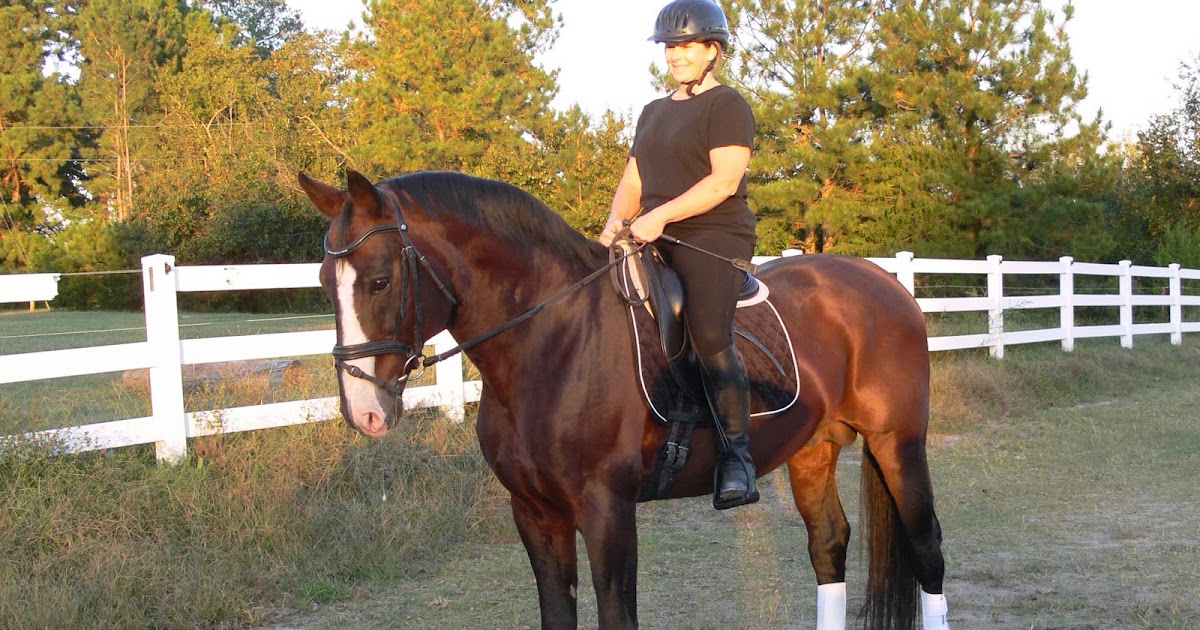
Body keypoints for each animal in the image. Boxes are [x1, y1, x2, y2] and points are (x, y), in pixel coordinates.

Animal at [298, 169, 950, 630]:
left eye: (380, 280)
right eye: (326, 285)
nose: (364, 412)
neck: (553, 342)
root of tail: (886, 283)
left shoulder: (607, 510)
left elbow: (617, 616)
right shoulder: (534, 513)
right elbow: (557, 615)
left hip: (899, 445)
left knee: (928, 554)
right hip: (812, 449)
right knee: (828, 546)